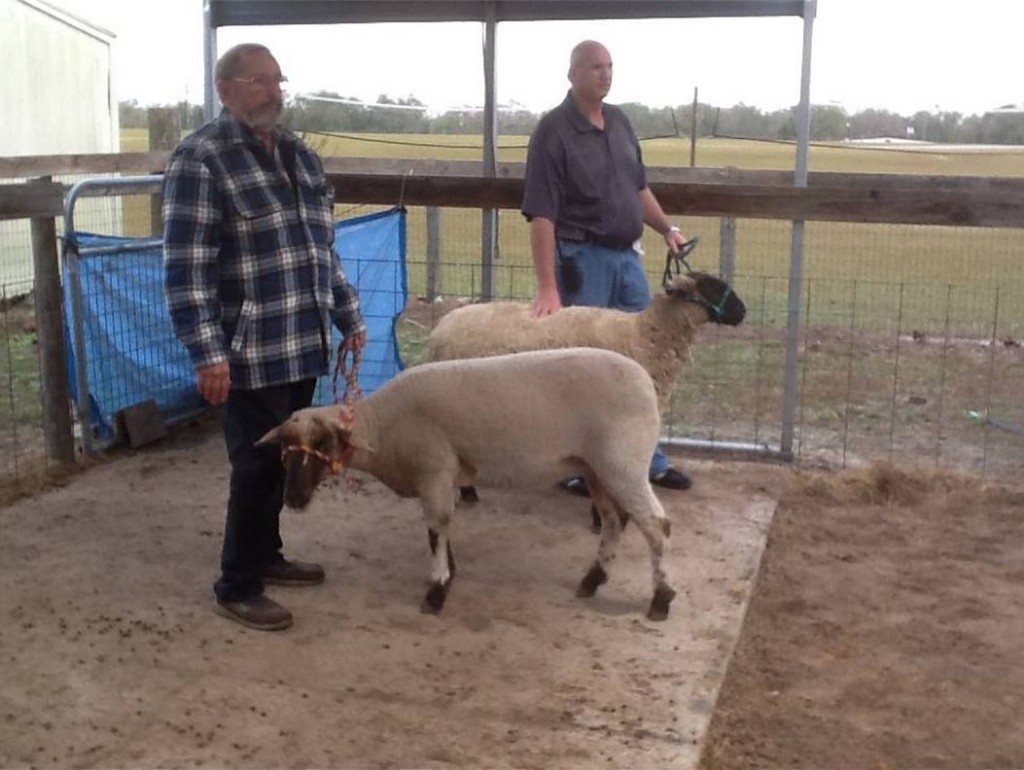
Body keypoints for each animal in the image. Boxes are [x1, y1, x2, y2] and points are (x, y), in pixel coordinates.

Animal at [260, 346, 679, 622]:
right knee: (613, 520)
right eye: (283, 451)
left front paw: (436, 590)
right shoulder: (443, 476)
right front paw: (450, 571)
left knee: (655, 525)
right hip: (595, 468)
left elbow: (436, 527)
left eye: (324, 444)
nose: (293, 499)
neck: (382, 424)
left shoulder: (433, 468)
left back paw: (660, 599)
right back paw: (592, 581)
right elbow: (443, 527)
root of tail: (645, 382)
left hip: (623, 462)